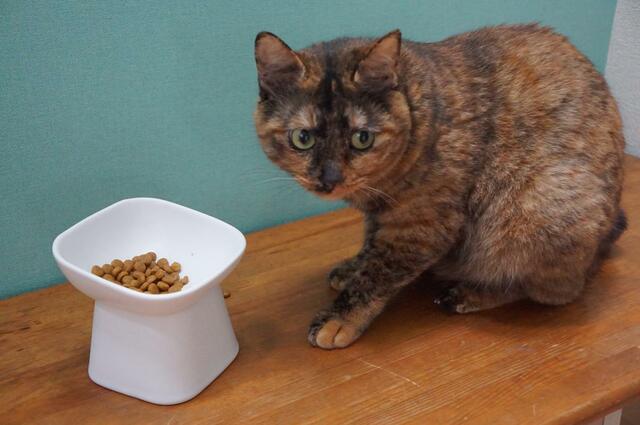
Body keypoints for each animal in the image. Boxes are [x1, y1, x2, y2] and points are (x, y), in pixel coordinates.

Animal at [253, 24, 626, 350]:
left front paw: (340, 317)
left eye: (362, 138)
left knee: (557, 291)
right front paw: (352, 267)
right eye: (303, 138)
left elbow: (380, 271)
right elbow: (370, 246)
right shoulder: (383, 216)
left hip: (538, 206)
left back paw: (471, 293)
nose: (328, 179)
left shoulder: (422, 225)